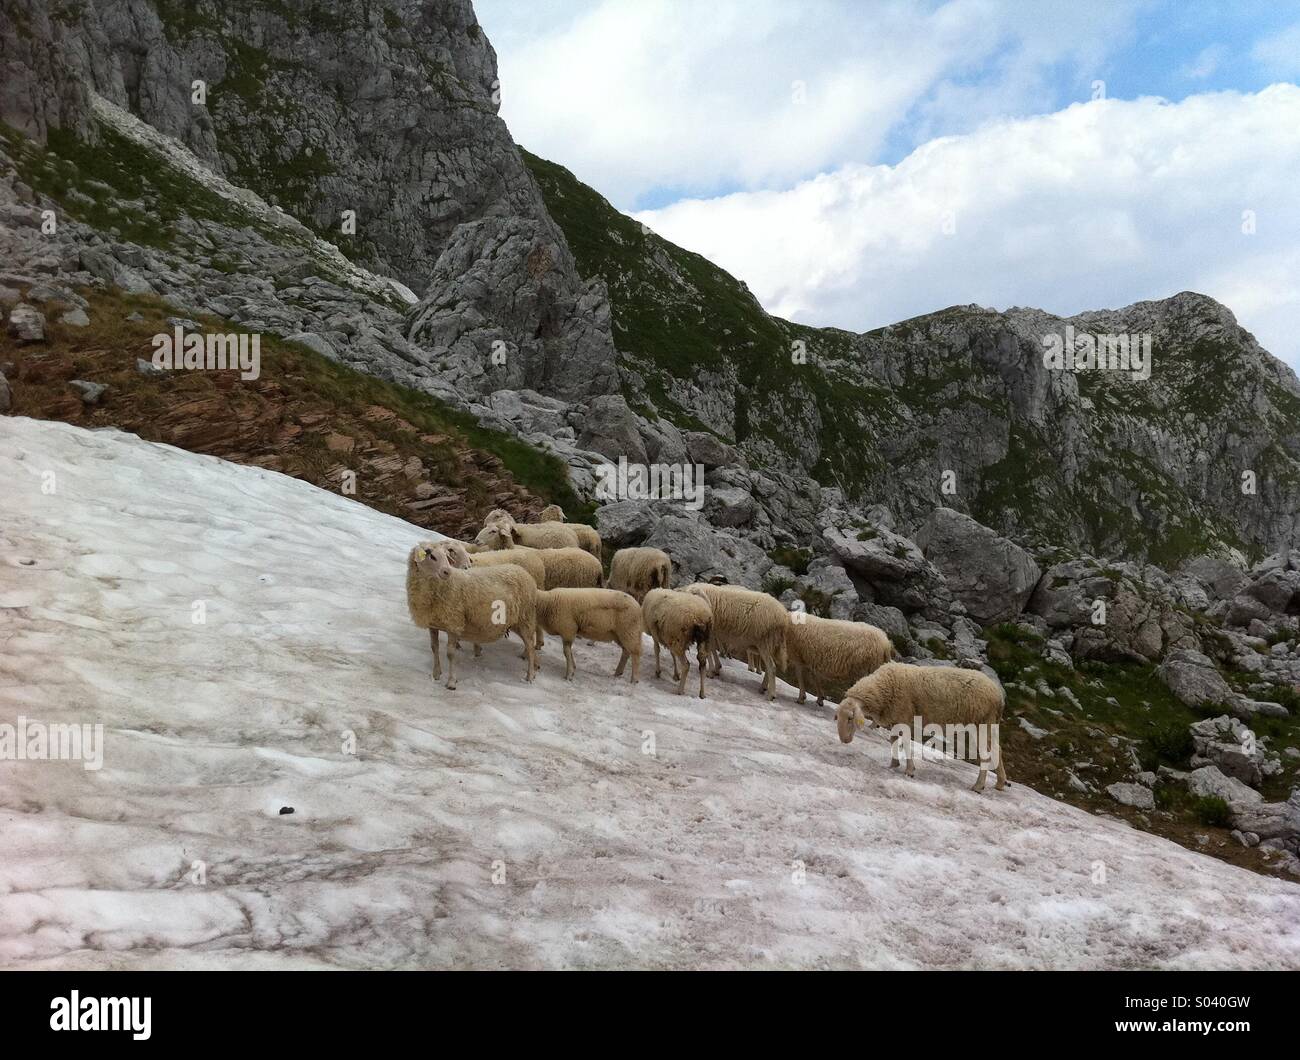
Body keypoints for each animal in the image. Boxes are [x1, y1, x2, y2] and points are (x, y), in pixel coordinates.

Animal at [406, 540, 537, 690]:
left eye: (446, 556)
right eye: (431, 556)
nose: (447, 572)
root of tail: (524, 572)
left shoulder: (454, 623)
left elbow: (450, 654)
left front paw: (451, 682)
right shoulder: (433, 624)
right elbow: (434, 648)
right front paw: (436, 674)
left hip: (525, 618)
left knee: (530, 646)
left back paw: (530, 676)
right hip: (518, 621)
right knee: (529, 645)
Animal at [835, 662, 1008, 793]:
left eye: (850, 718)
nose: (844, 740)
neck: (884, 689)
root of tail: (999, 697)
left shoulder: (904, 716)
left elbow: (905, 743)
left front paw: (909, 770)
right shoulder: (896, 718)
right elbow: (893, 740)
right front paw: (894, 764)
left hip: (981, 724)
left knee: (987, 754)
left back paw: (978, 786)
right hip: (989, 724)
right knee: (997, 749)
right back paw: (1000, 783)